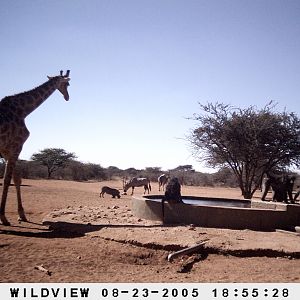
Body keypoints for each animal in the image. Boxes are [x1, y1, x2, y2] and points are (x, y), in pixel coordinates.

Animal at [0, 70, 71, 225]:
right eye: (67, 84)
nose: (67, 97)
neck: (23, 111)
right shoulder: (15, 146)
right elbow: (8, 180)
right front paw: (3, 217)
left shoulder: (7, 150)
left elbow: (16, 179)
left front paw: (22, 215)